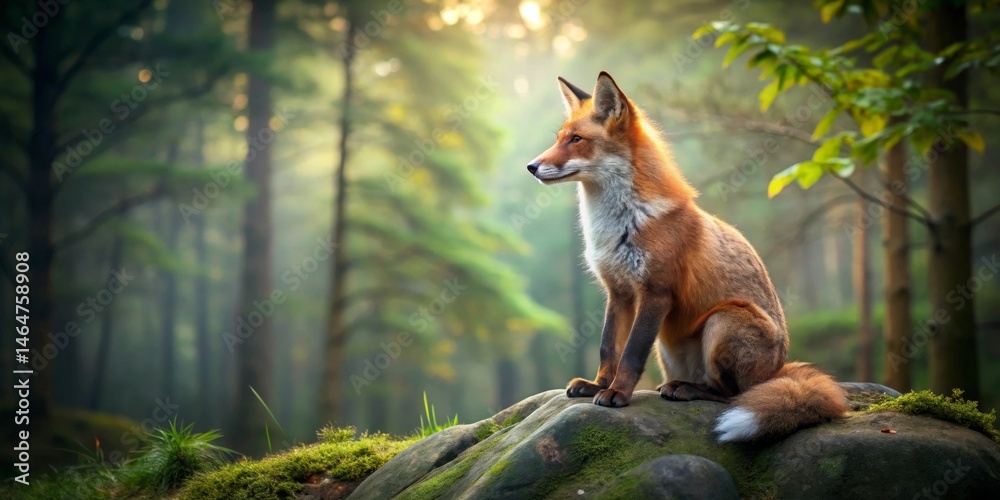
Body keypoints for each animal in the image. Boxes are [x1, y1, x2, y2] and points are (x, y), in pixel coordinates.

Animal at [526, 71, 848, 442]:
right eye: (560, 138)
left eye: (576, 140)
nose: (531, 166)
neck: (621, 223)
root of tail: (779, 369)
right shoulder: (618, 292)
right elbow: (609, 347)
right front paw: (598, 384)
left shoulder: (656, 292)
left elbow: (631, 354)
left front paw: (618, 393)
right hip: (667, 345)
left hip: (723, 321)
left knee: (732, 393)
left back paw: (688, 390)